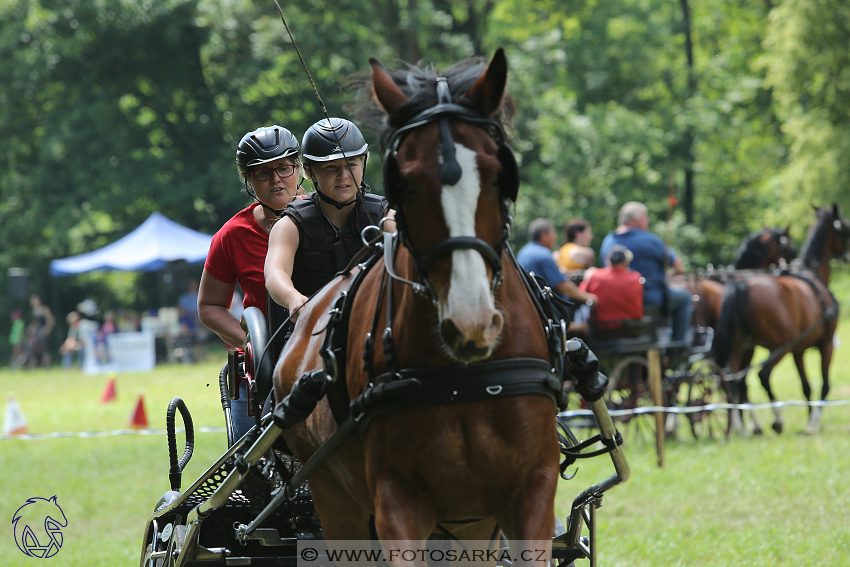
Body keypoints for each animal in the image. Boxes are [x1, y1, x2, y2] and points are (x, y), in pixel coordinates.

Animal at [274, 50, 560, 564]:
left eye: (500, 175)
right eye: (404, 183)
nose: (471, 321)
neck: (460, 378)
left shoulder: (531, 490)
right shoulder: (396, 503)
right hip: (335, 499)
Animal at [716, 206, 848, 438]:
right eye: (846, 230)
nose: (848, 257)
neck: (812, 274)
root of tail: (741, 285)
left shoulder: (798, 350)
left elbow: (806, 386)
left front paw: (810, 418)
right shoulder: (827, 344)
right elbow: (824, 384)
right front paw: (814, 422)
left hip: (742, 347)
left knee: (733, 380)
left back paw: (741, 426)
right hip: (779, 346)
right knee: (762, 375)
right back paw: (775, 420)